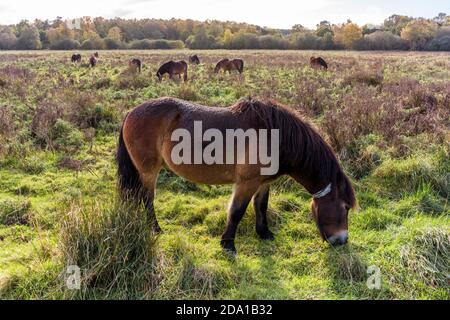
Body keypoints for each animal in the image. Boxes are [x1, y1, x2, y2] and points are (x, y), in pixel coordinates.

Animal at [118, 97, 356, 255]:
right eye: (345, 207)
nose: (342, 240)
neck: (275, 136)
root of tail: (130, 112)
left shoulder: (263, 183)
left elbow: (261, 206)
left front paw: (264, 233)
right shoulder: (246, 183)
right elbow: (237, 211)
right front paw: (228, 244)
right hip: (148, 171)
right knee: (147, 199)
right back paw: (155, 228)